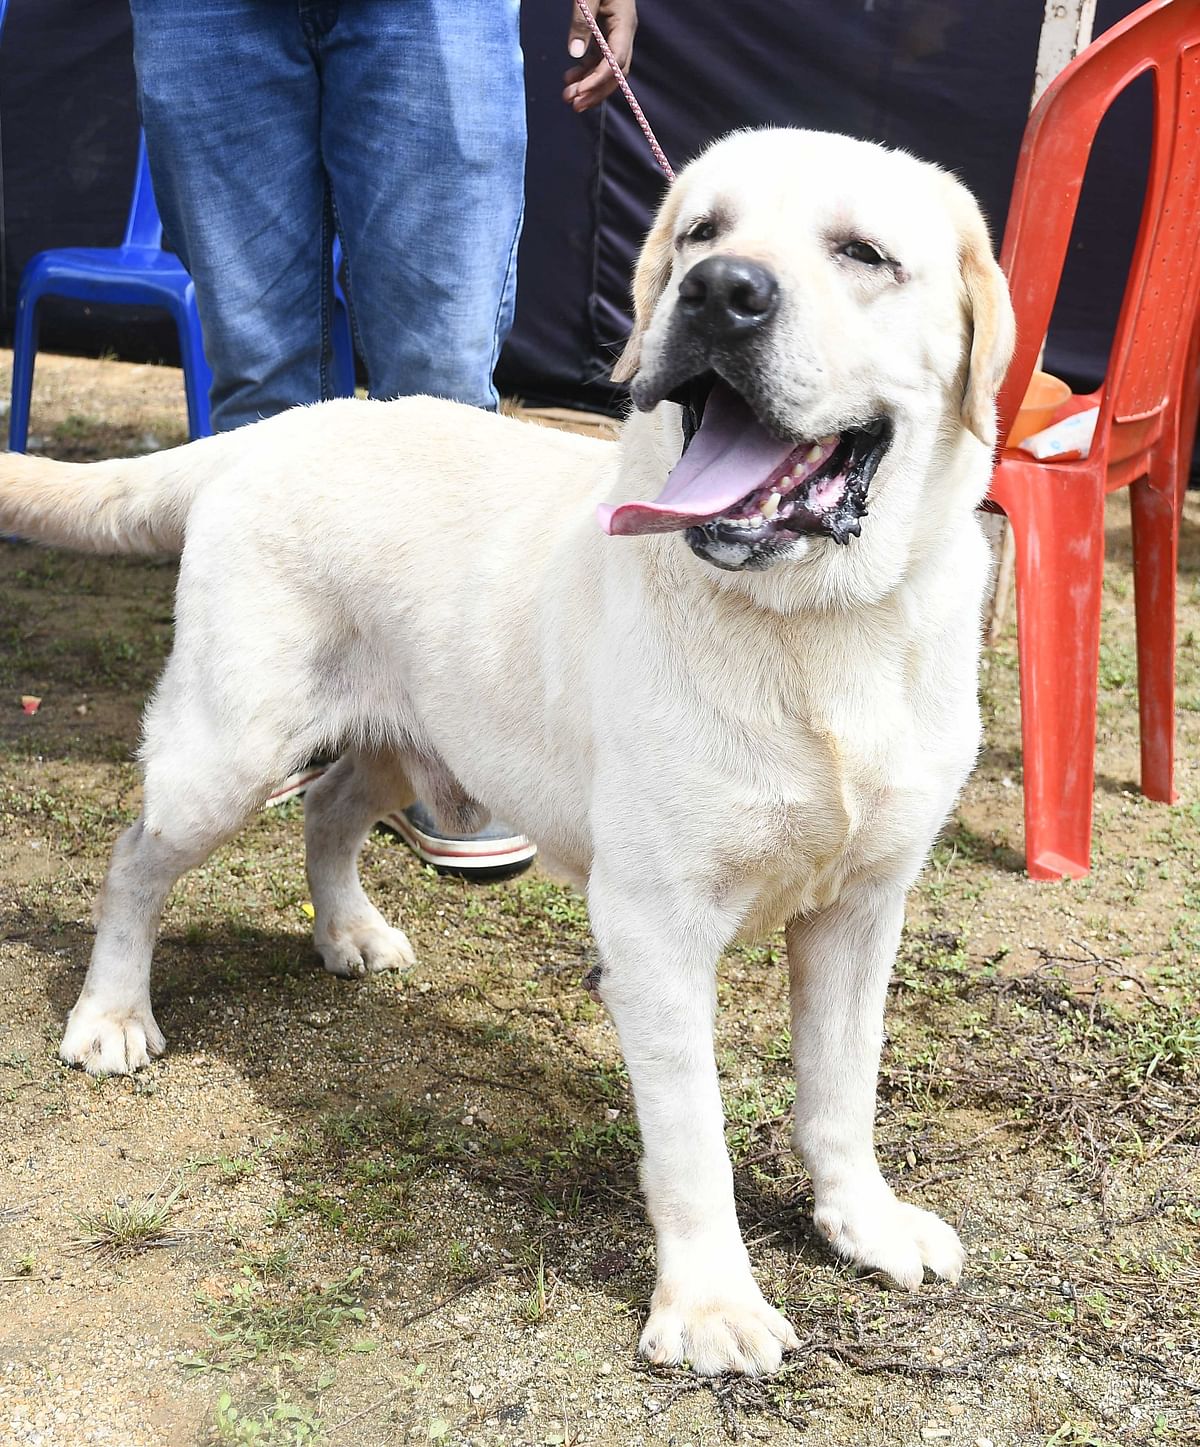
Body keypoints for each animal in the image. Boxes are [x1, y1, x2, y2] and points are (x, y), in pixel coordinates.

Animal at [0, 127, 1013, 1377]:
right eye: (702, 232)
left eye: (865, 253)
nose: (718, 293)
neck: (817, 632)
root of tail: (290, 420)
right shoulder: (653, 928)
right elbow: (695, 1140)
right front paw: (711, 1303)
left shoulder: (866, 906)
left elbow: (843, 1087)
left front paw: (860, 1222)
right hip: (224, 752)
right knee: (135, 857)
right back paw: (111, 1014)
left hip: (411, 729)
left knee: (331, 810)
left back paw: (349, 931)